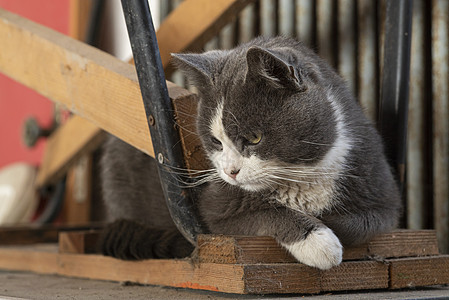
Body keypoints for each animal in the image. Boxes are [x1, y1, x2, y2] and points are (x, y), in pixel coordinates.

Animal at [100, 35, 400, 270]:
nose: (230, 171)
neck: (302, 174)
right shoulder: (217, 211)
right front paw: (318, 242)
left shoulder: (381, 194)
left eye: (254, 138)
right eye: (216, 141)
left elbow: (361, 223)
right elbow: (266, 212)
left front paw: (325, 223)